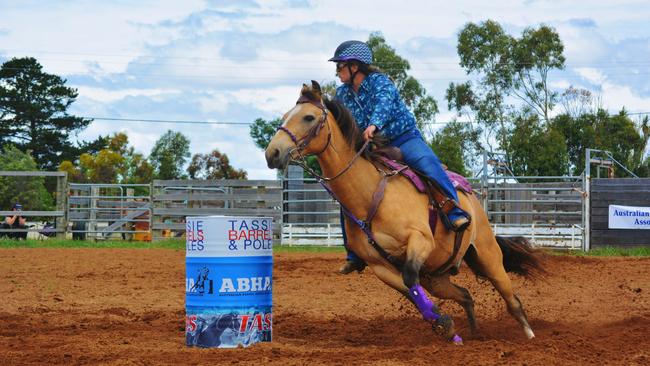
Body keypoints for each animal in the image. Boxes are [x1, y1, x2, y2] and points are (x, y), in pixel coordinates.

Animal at [264, 80, 540, 344]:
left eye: (308, 117)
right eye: (286, 115)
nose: (272, 153)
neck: (371, 194)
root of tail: (473, 198)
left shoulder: (420, 241)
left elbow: (409, 278)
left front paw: (444, 324)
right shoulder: (380, 267)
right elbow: (410, 290)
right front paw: (445, 326)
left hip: (488, 257)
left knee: (512, 299)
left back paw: (530, 336)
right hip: (436, 277)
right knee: (465, 295)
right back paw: (475, 335)